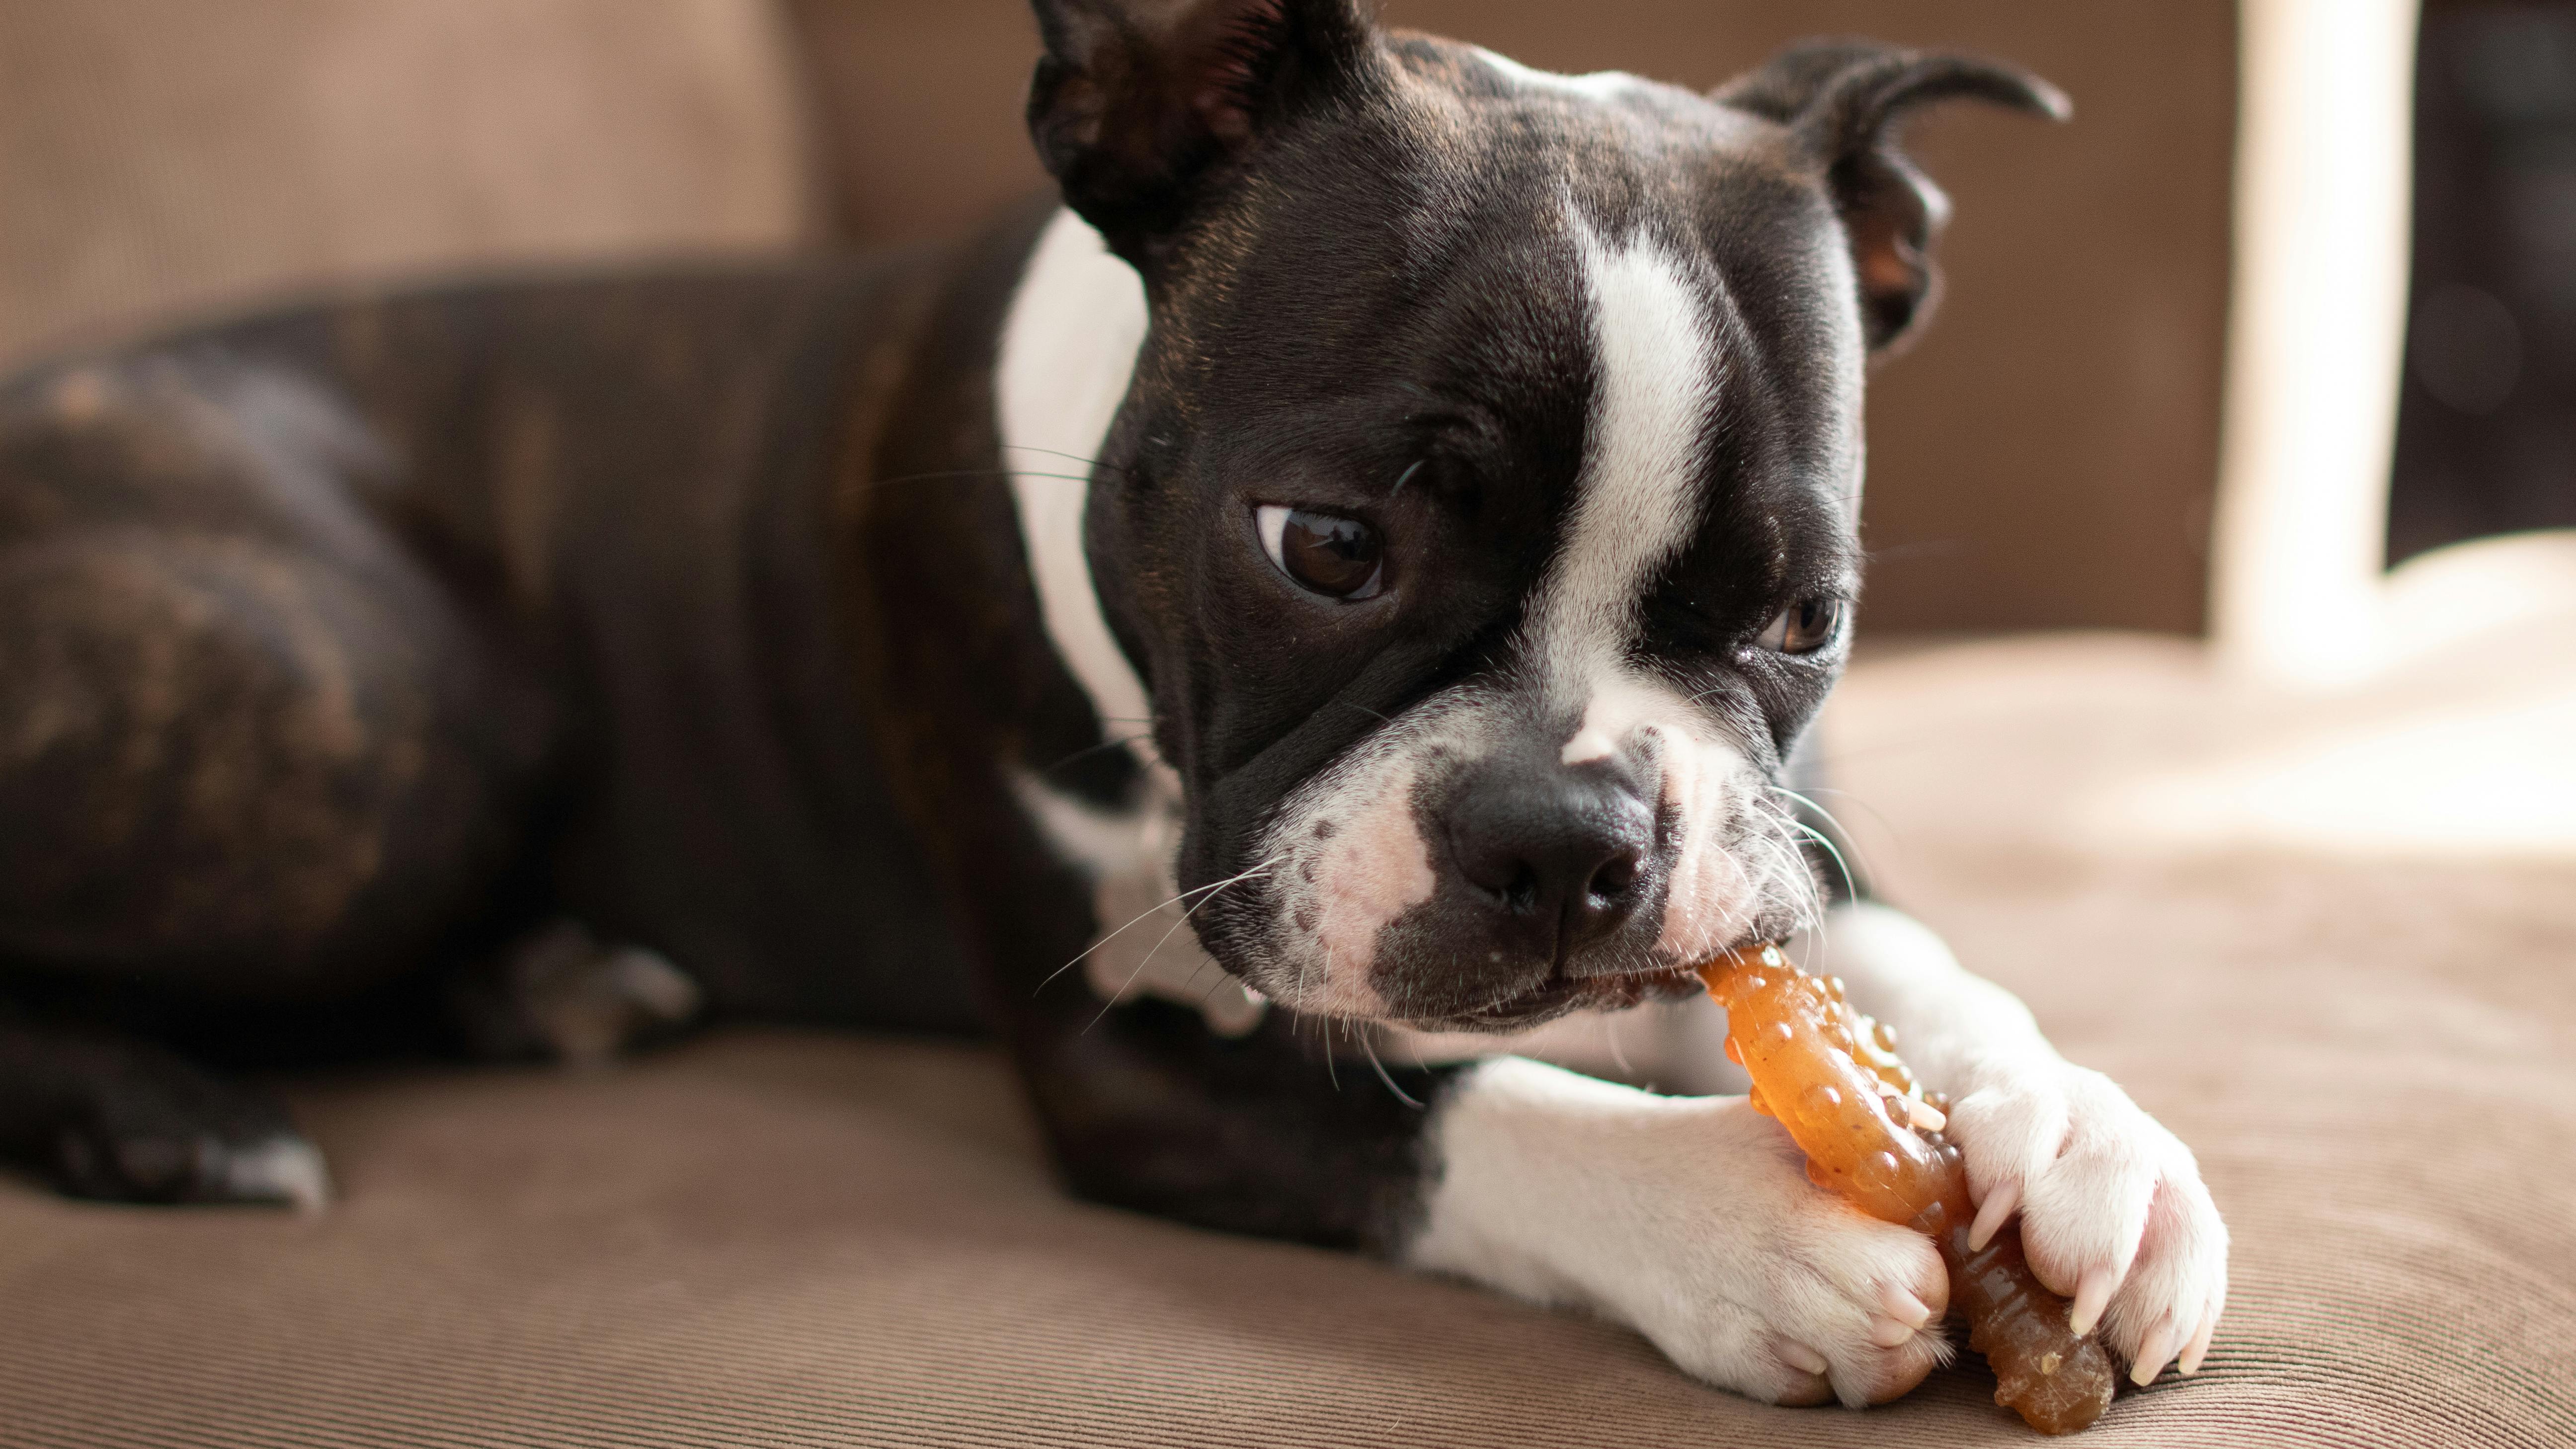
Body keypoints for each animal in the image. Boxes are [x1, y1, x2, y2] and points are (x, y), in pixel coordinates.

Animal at [0, 0, 2225, 1402]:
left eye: (1799, 616)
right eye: (1326, 546)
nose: (1567, 842)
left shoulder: (1789, 837)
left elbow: (1896, 959)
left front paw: (2085, 1135)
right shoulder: (1119, 1061)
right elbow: (1443, 1109)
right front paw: (1728, 1224)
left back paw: (540, 982)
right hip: (387, 710)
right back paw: (184, 1122)